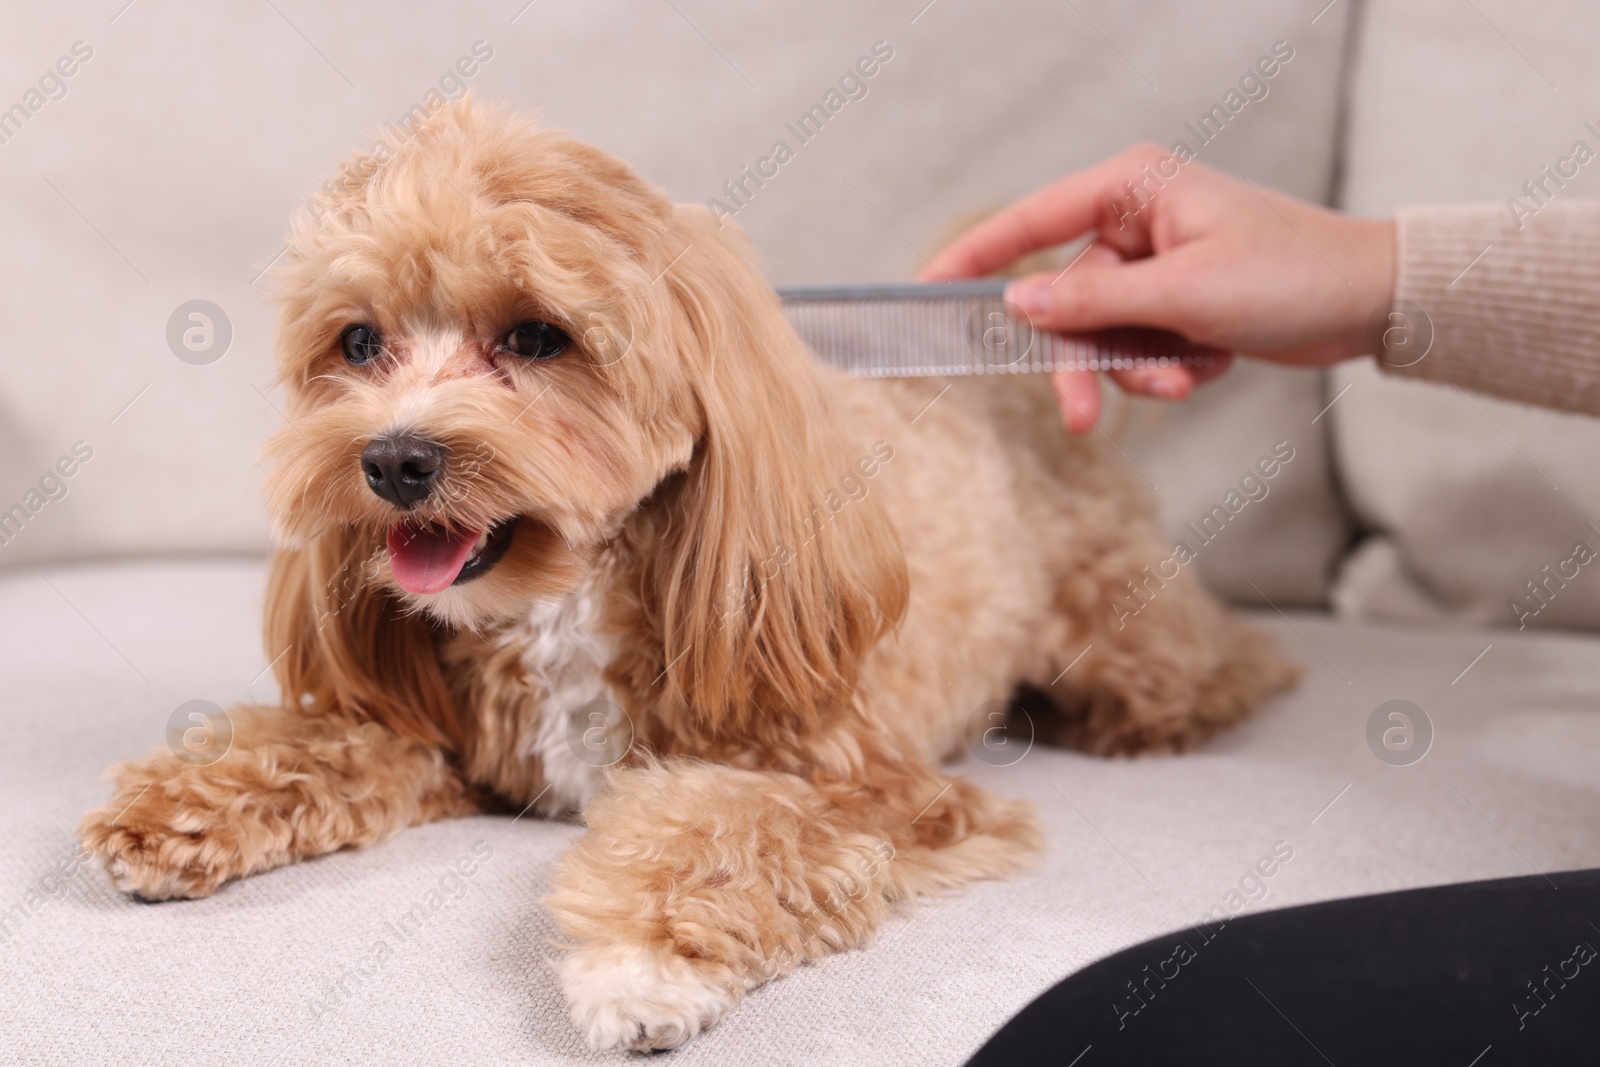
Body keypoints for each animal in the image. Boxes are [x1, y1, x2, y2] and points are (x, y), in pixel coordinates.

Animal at [78, 97, 1299, 1049]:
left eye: (536, 336)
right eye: (360, 342)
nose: (394, 459)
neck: (565, 601)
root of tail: (1013, 386)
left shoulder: (867, 785)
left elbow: (719, 827)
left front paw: (644, 959)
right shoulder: (441, 736)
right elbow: (318, 741)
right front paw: (180, 806)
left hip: (1132, 643)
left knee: (1220, 669)